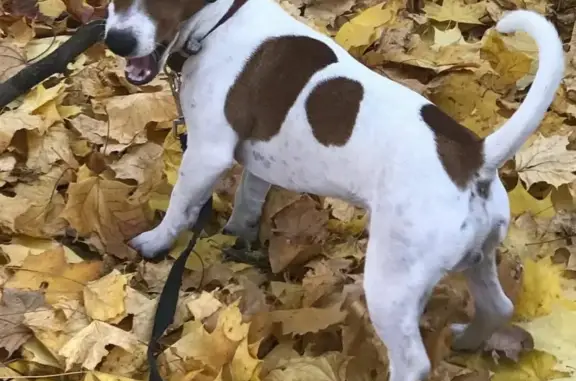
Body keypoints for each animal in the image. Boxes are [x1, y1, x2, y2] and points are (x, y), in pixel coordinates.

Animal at [103, 0, 564, 378]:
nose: (116, 41)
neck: (220, 20)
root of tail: (474, 157)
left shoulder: (206, 153)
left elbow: (179, 204)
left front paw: (155, 242)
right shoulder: (259, 161)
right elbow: (248, 200)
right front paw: (238, 234)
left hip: (390, 284)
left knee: (413, 362)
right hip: (477, 256)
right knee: (498, 307)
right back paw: (466, 339)